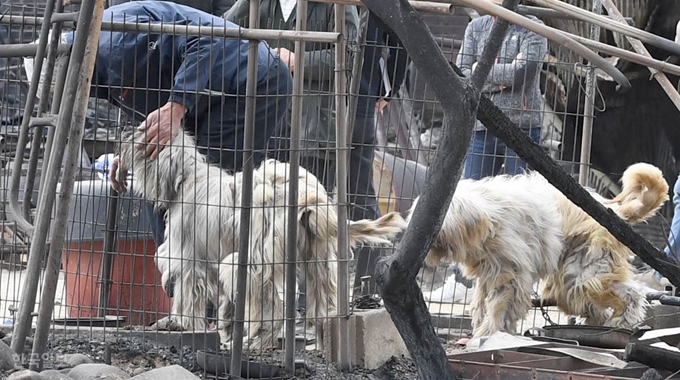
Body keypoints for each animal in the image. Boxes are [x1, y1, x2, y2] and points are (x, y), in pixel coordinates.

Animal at [117, 128, 406, 350]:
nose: (124, 138)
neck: (188, 178)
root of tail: (310, 197)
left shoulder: (191, 260)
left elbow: (188, 296)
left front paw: (182, 324)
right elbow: (226, 305)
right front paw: (223, 330)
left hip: (257, 265)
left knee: (274, 311)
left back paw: (254, 342)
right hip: (318, 262)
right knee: (323, 311)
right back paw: (319, 346)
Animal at [410, 162, 668, 336]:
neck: (486, 219)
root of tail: (611, 211)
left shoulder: (511, 271)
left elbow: (501, 303)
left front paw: (491, 331)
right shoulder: (490, 269)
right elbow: (483, 300)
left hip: (586, 269)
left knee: (632, 293)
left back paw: (622, 321)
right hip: (573, 279)